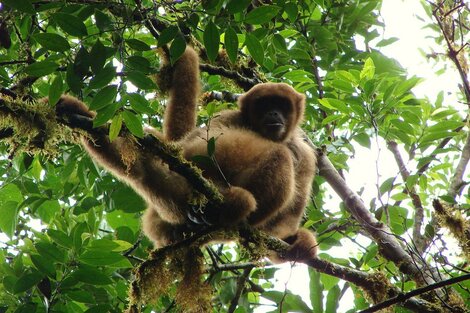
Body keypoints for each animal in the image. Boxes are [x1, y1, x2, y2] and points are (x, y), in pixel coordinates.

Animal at [57, 45, 318, 260]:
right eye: (265, 105)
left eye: (281, 105)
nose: (273, 113)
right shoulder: (229, 117)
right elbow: (189, 147)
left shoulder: (305, 154)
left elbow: (289, 215)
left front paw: (292, 242)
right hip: (175, 190)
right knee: (278, 156)